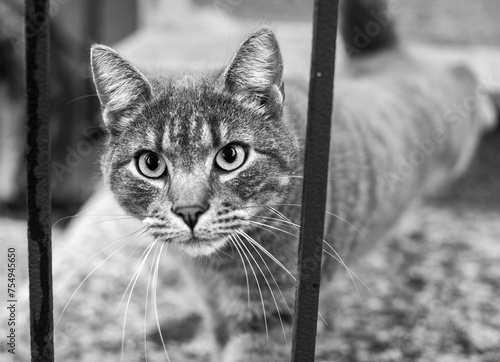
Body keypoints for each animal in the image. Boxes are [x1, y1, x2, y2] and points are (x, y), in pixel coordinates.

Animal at [88, 0, 494, 360]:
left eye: (231, 156)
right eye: (151, 164)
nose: (189, 210)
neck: (215, 269)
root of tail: (390, 57)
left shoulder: (273, 311)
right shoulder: (215, 307)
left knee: (463, 74)